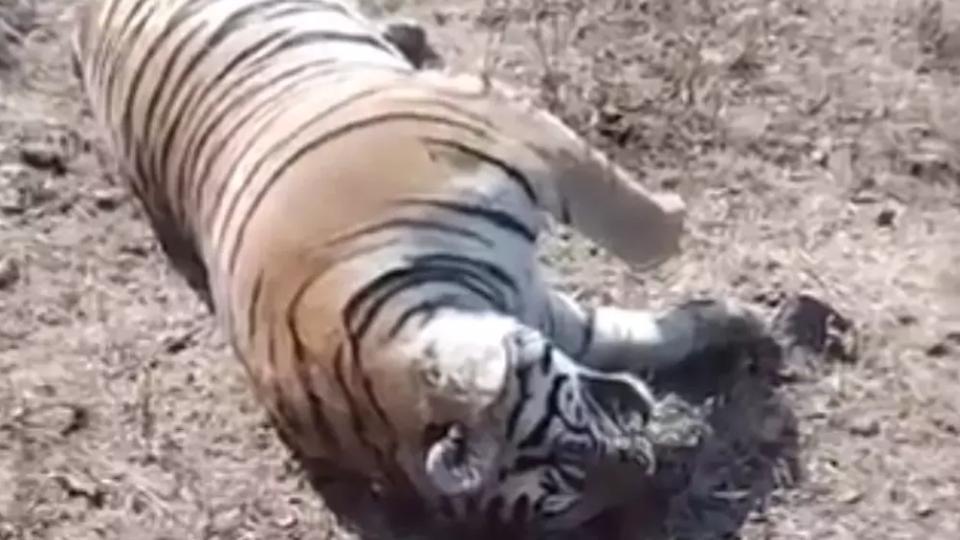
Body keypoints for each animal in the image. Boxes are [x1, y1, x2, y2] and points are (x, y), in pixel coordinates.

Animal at [71, 0, 769, 534]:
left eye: (574, 452)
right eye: (573, 494)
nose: (648, 476)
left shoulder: (497, 120)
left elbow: (646, 234)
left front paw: (702, 255)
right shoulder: (546, 313)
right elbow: (628, 335)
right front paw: (737, 321)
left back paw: (406, 31)